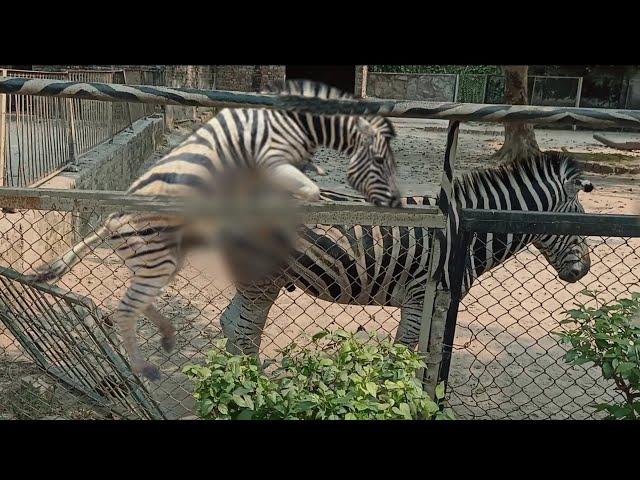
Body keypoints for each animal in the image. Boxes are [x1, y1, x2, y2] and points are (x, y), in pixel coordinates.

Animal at [31, 80, 400, 380]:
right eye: (381, 162)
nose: (395, 204)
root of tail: (109, 223)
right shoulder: (268, 159)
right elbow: (306, 189)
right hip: (157, 261)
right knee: (125, 310)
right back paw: (146, 366)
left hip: (160, 262)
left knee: (135, 303)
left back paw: (166, 335)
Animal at [221, 152, 596, 354]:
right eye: (581, 221)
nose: (586, 271)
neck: (465, 232)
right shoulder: (418, 297)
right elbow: (405, 348)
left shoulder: (435, 301)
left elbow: (428, 352)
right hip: (263, 280)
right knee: (244, 333)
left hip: (253, 280)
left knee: (230, 324)